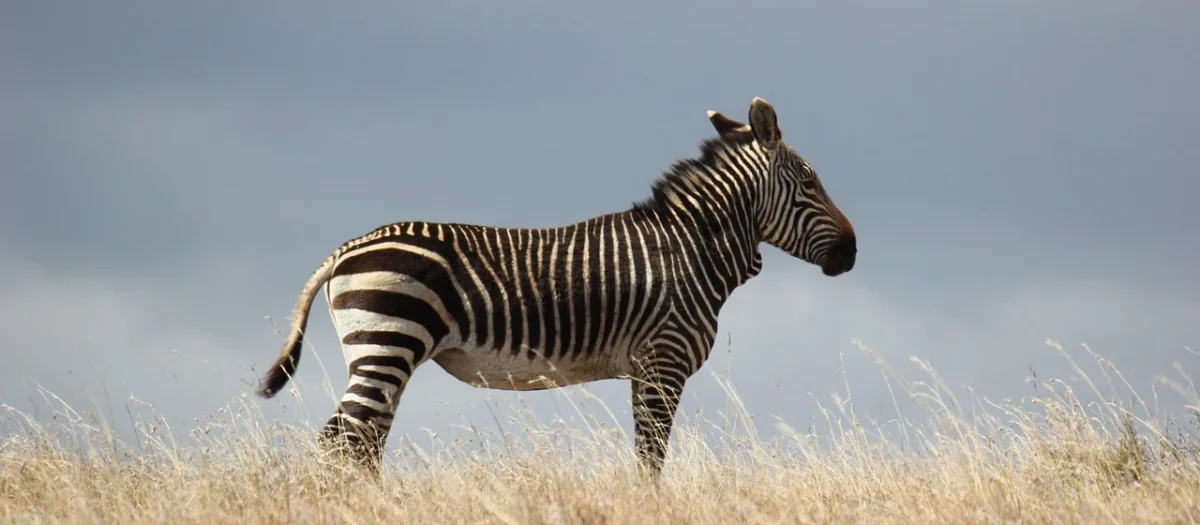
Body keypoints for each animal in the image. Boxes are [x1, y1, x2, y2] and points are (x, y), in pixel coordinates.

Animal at [255, 97, 857, 477]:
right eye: (809, 183)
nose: (852, 252)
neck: (691, 249)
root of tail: (346, 249)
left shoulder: (644, 369)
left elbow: (646, 455)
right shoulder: (662, 362)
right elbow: (651, 457)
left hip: (384, 353)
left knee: (362, 443)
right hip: (388, 342)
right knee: (342, 440)